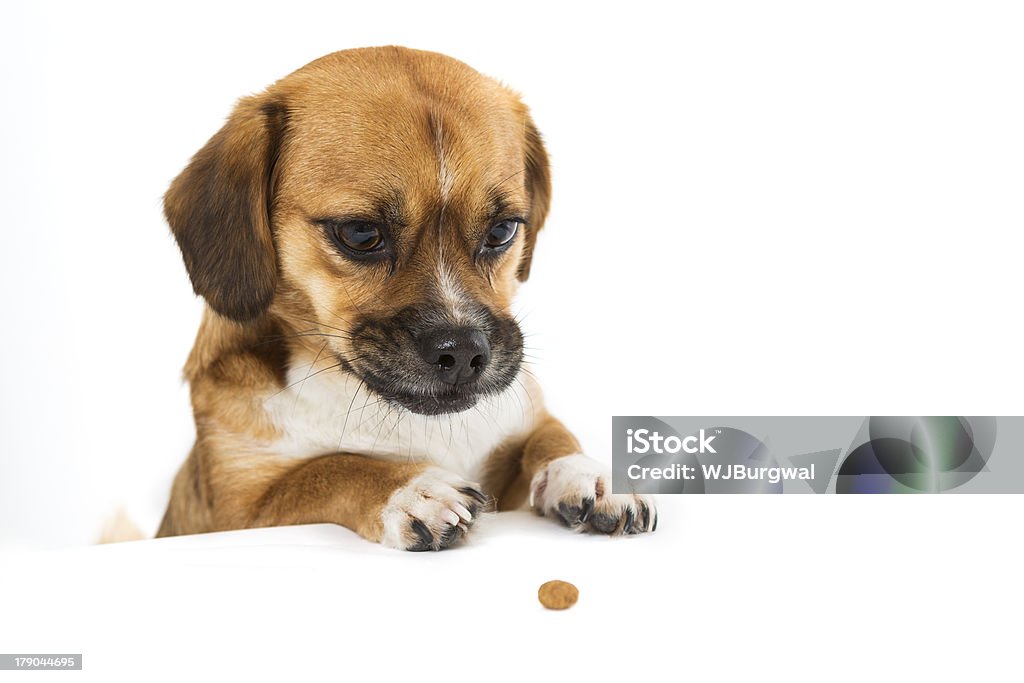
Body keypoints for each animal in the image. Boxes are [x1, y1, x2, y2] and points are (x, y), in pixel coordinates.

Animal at [159, 48, 655, 548]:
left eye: (502, 230)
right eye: (360, 234)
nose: (464, 353)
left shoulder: (524, 425)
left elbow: (552, 436)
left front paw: (589, 475)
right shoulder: (242, 509)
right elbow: (329, 470)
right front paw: (413, 489)